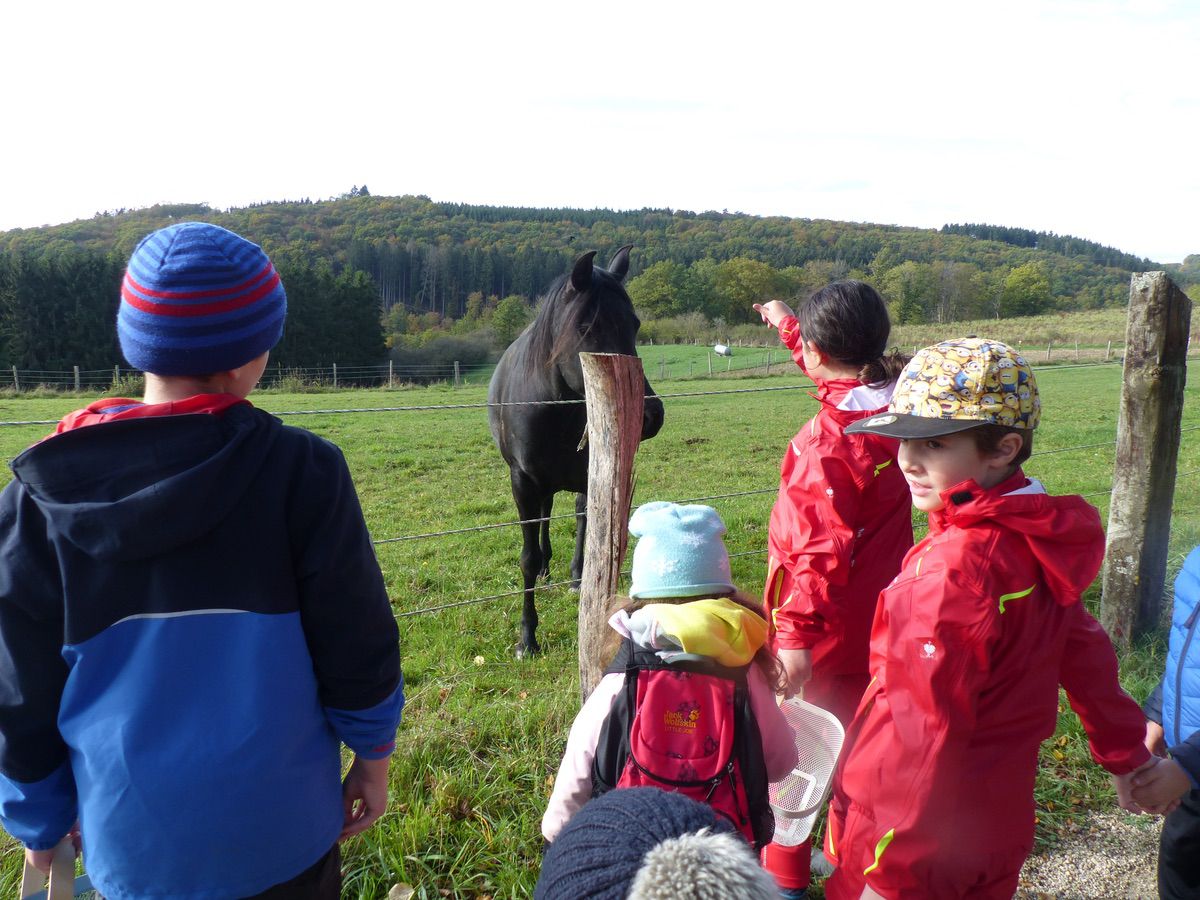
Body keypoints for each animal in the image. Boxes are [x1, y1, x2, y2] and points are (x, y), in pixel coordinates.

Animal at [492, 250, 672, 657]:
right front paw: (527, 637)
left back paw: (575, 576)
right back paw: (547, 567)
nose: (649, 415)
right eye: (588, 326)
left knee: (578, 517)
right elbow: (527, 558)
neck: (552, 404)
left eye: (635, 324)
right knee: (545, 516)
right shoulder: (522, 482)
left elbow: (590, 530)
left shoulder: (591, 472)